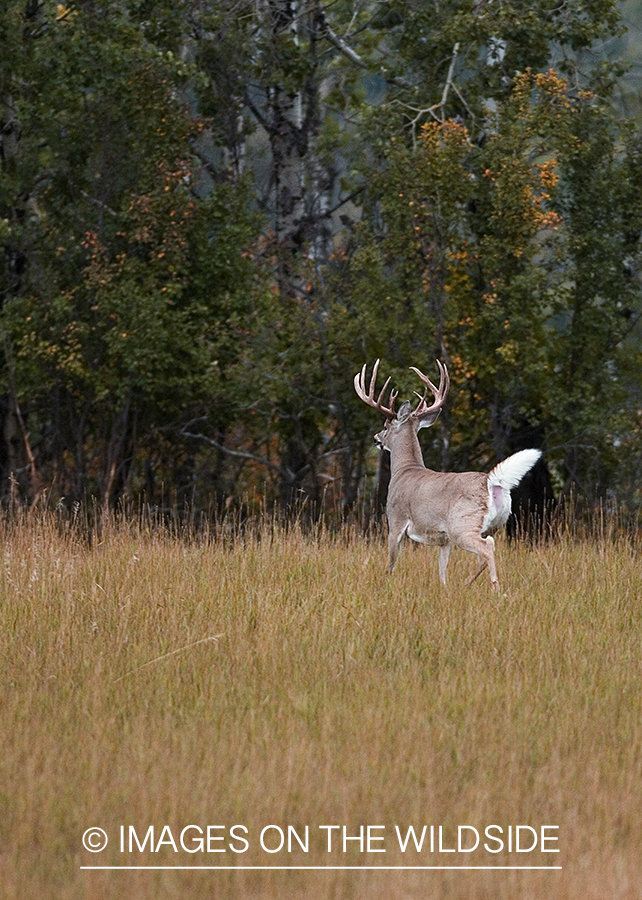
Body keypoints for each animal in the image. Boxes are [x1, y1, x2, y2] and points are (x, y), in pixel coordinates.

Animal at [356, 360, 540, 592]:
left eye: (386, 426)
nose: (376, 438)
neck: (405, 469)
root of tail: (490, 481)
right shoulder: (443, 539)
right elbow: (442, 570)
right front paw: (444, 589)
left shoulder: (396, 520)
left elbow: (390, 563)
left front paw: (384, 584)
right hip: (493, 524)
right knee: (486, 550)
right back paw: (466, 584)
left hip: (462, 525)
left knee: (487, 548)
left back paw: (496, 588)